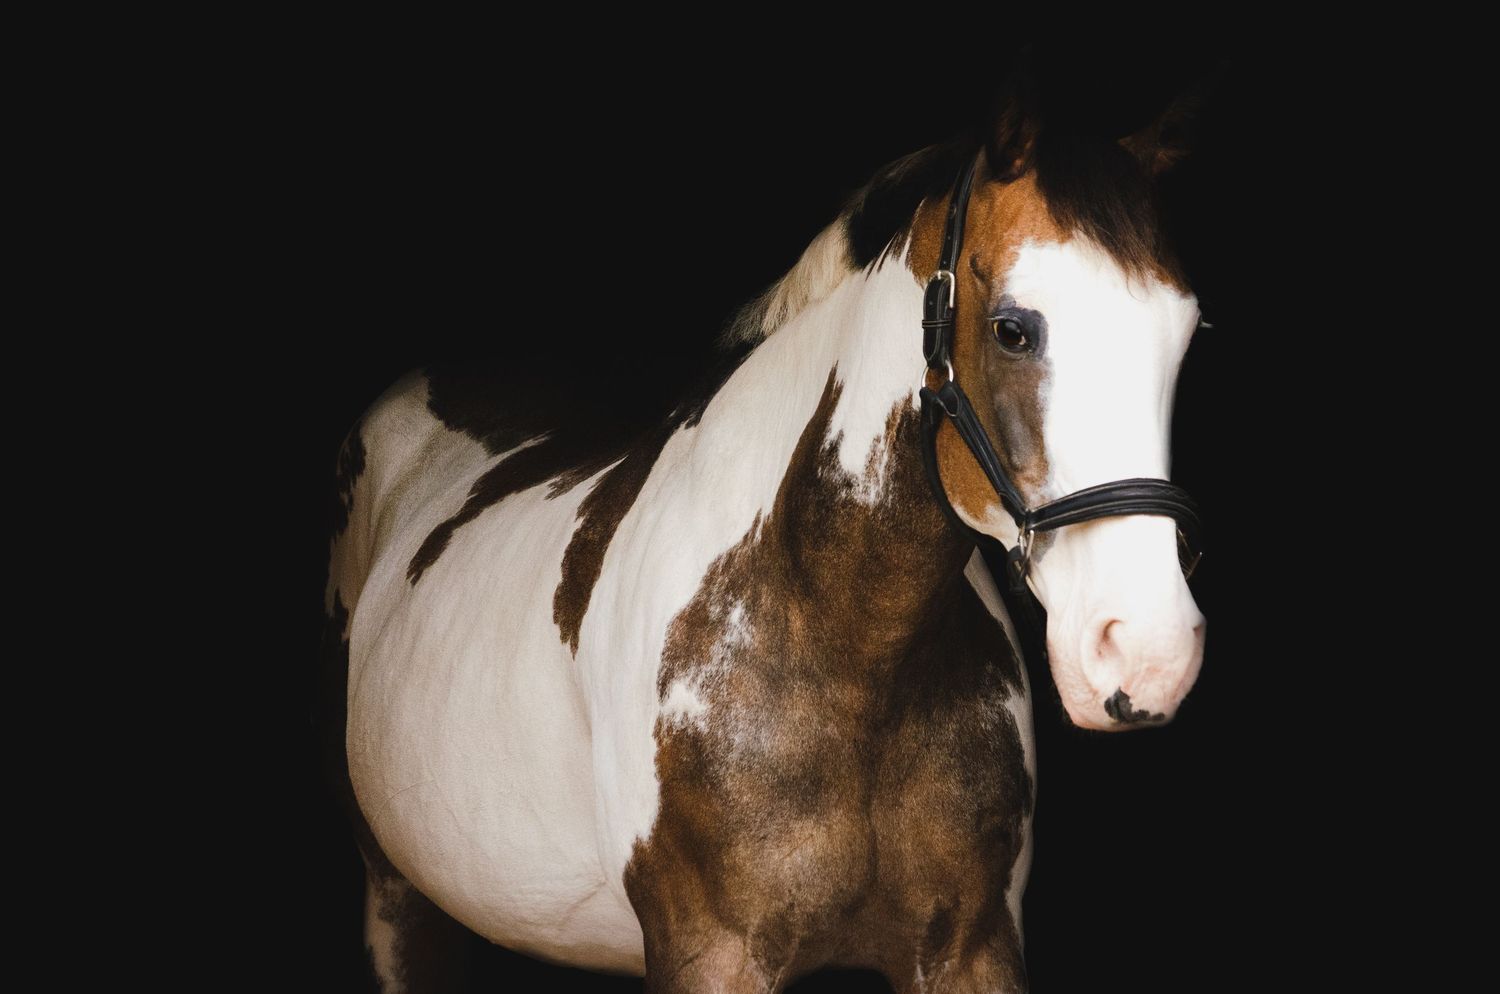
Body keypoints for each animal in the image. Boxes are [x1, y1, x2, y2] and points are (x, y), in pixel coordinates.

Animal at [320, 71, 1212, 993]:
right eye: (1011, 328)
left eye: (1185, 334)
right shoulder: (713, 955)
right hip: (395, 895)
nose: (1148, 651)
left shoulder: (973, 950)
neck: (847, 646)